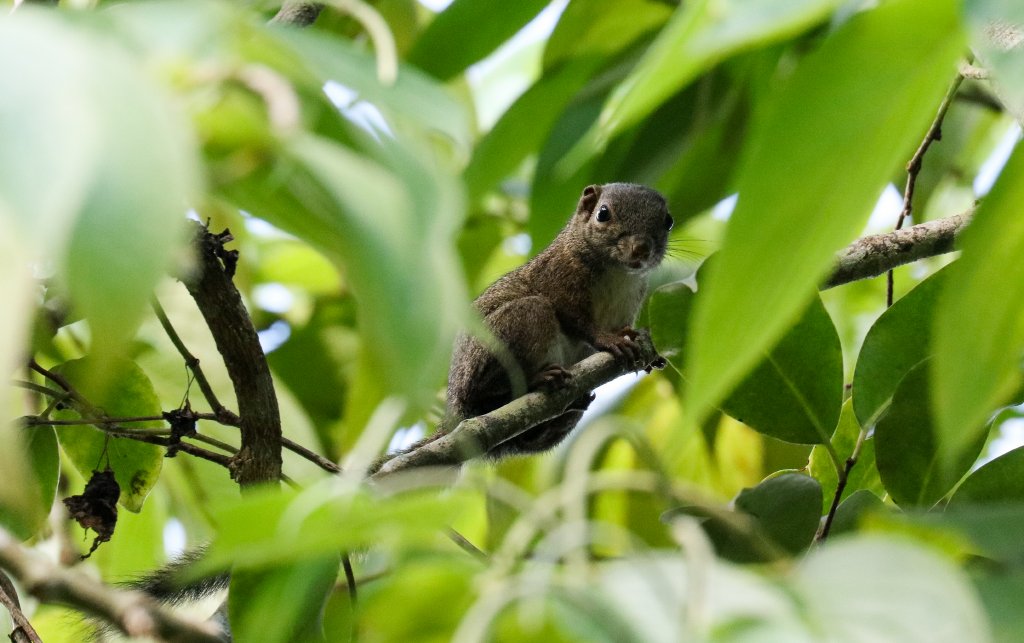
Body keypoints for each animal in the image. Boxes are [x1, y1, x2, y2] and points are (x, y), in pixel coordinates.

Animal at [375, 182, 673, 468]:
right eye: (603, 214)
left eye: (668, 221)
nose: (641, 248)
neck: (619, 272)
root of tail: (456, 412)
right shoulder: (558, 276)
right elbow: (576, 319)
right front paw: (609, 340)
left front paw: (645, 350)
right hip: (519, 323)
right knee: (489, 391)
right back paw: (537, 381)